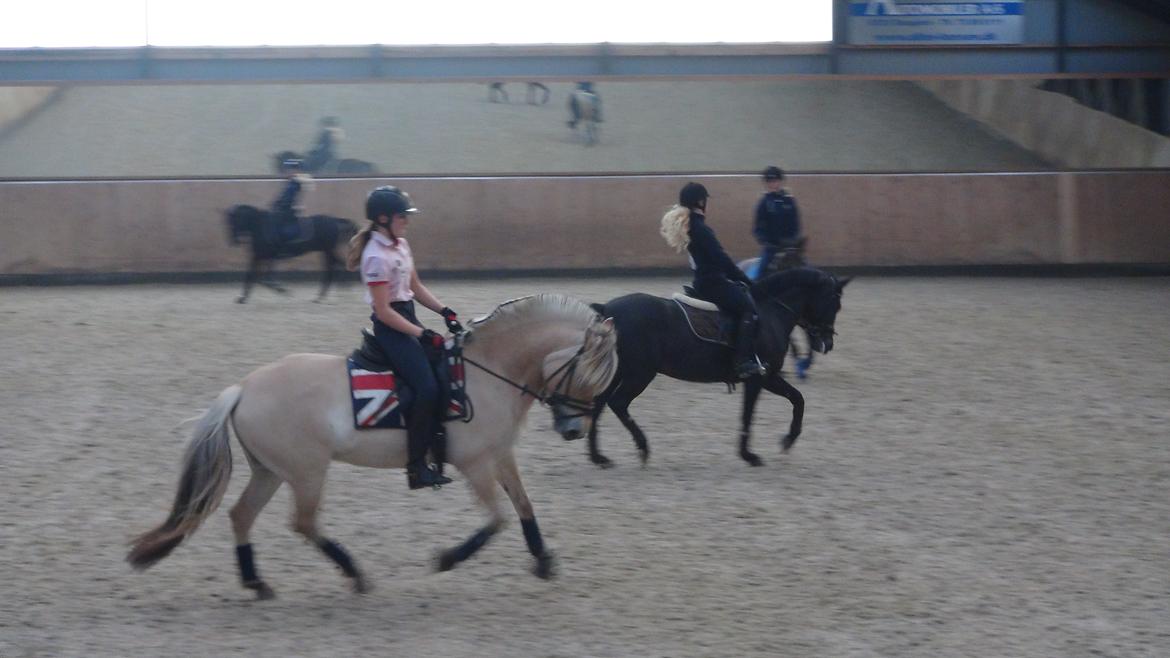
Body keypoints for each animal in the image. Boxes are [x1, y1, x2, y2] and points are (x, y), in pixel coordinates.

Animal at [126, 295, 617, 597]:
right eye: (586, 375)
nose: (574, 430)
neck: (485, 372)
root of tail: (243, 388)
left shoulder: (499, 454)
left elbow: (524, 505)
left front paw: (543, 560)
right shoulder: (474, 462)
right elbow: (496, 519)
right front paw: (447, 559)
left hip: (272, 471)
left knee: (242, 515)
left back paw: (257, 583)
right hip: (306, 471)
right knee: (303, 523)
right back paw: (354, 574)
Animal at [223, 202, 358, 302]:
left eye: (237, 219)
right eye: (229, 222)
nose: (234, 241)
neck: (260, 226)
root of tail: (334, 220)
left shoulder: (265, 256)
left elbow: (262, 278)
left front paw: (281, 289)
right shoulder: (258, 256)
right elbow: (251, 275)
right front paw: (242, 298)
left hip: (327, 250)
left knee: (333, 267)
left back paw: (324, 295)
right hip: (326, 251)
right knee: (336, 265)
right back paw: (329, 293)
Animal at [589, 266, 847, 465]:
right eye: (834, 303)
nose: (827, 343)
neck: (769, 313)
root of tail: (608, 310)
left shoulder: (767, 376)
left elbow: (796, 399)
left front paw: (786, 440)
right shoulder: (759, 377)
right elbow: (750, 414)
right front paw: (750, 455)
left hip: (619, 372)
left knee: (599, 404)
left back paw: (598, 457)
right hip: (639, 373)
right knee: (618, 403)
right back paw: (642, 447)